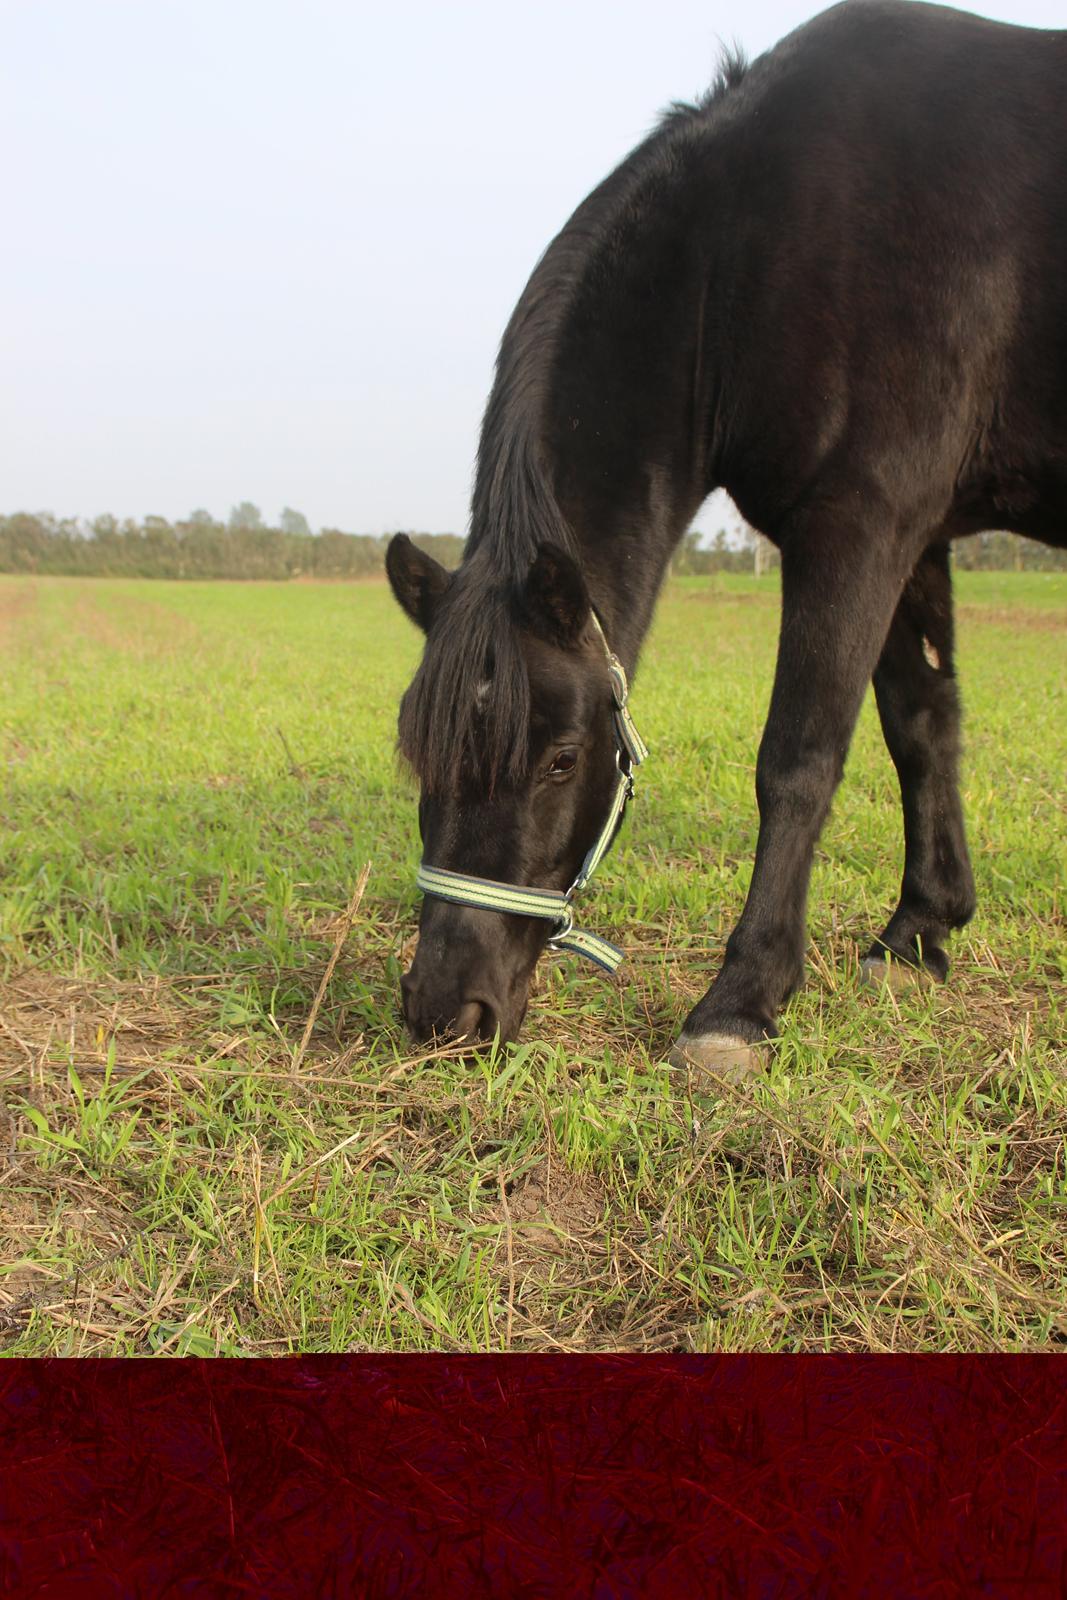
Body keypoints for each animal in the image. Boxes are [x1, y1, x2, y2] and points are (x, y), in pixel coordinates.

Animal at [388, 0, 1062, 1081]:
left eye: (562, 760)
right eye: (421, 753)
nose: (444, 1010)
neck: (756, 239)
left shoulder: (857, 521)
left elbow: (798, 757)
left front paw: (740, 1001)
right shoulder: (914, 530)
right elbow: (920, 720)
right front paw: (918, 933)